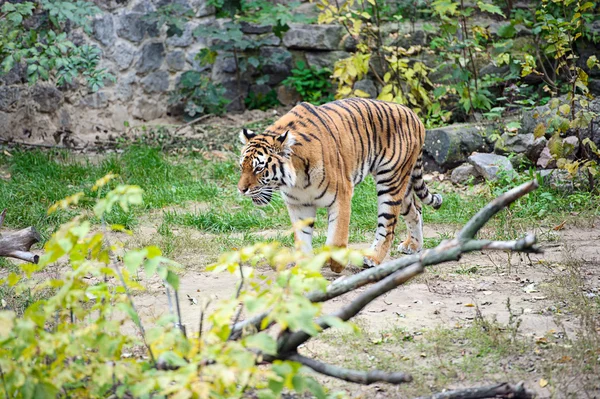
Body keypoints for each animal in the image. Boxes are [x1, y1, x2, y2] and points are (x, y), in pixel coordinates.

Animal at [238, 98, 440, 274]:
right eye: (242, 167)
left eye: (258, 168)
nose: (241, 189)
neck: (297, 181)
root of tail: (413, 115)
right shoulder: (299, 205)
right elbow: (302, 240)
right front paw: (304, 269)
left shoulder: (342, 196)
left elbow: (337, 238)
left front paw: (336, 264)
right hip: (402, 184)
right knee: (415, 210)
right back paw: (413, 245)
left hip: (390, 181)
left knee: (388, 226)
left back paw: (372, 258)